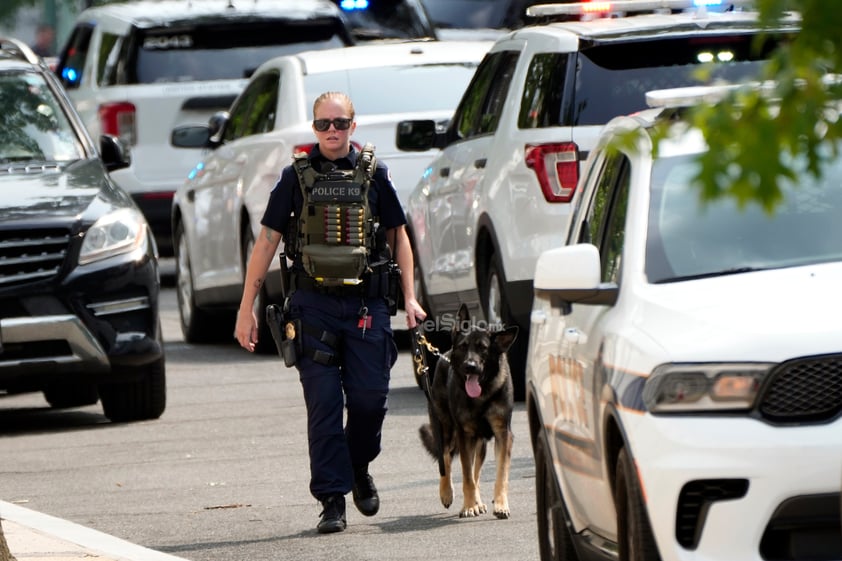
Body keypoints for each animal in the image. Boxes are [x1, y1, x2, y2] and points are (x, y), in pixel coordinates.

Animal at [420, 304, 520, 520]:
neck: (482, 394)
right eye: (464, 346)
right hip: (446, 429)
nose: (470, 366)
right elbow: (466, 477)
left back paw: (478, 502)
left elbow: (499, 474)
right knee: (445, 457)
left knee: (476, 472)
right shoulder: (465, 436)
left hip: (480, 443)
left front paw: (500, 505)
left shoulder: (503, 435)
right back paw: (447, 492)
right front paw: (468, 506)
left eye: (483, 348)